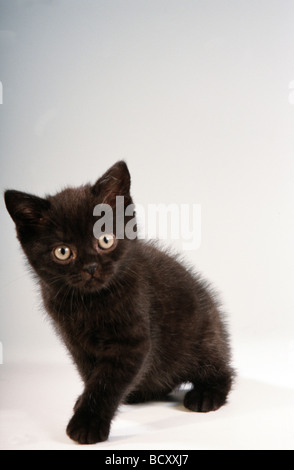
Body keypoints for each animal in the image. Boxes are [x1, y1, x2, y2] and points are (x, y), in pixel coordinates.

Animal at [3, 161, 234, 444]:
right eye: (63, 252)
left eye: (105, 240)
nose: (91, 267)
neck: (90, 303)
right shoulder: (75, 343)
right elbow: (93, 375)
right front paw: (86, 403)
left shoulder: (131, 341)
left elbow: (107, 381)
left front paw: (88, 423)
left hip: (203, 338)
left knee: (221, 370)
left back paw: (206, 395)